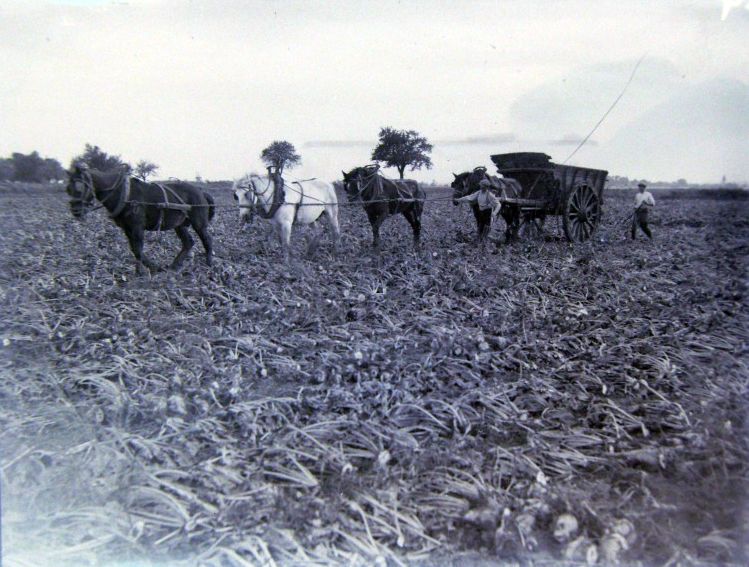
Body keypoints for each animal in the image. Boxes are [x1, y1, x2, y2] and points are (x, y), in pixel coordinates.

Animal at [65, 163, 215, 274]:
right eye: (68, 189)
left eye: (79, 189)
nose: (76, 212)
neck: (122, 193)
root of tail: (201, 192)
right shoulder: (127, 228)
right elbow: (134, 249)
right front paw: (151, 268)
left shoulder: (137, 226)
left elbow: (138, 249)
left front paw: (143, 271)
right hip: (180, 225)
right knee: (188, 243)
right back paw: (174, 266)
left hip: (198, 223)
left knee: (207, 239)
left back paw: (209, 263)